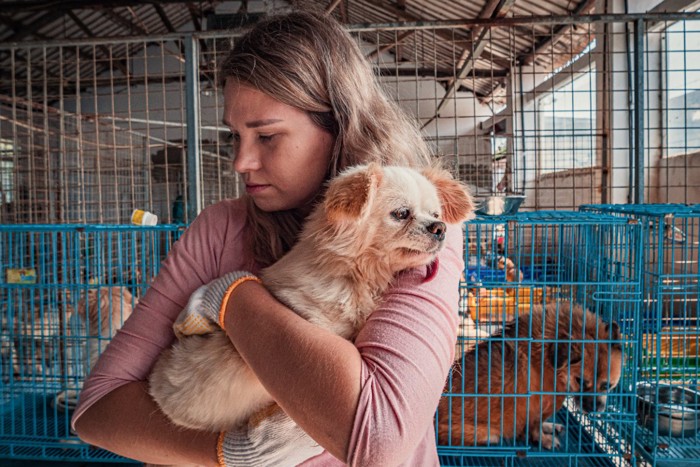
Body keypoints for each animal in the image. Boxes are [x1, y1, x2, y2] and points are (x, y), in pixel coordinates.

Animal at [148, 164, 476, 432]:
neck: (355, 276)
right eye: (401, 214)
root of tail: (154, 384)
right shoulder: (320, 323)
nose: (440, 228)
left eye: (436, 215)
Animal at [438, 302, 624, 452]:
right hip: (487, 433)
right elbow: (535, 426)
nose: (593, 409)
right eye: (581, 381)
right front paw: (543, 439)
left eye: (607, 385)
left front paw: (547, 427)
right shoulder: (538, 404)